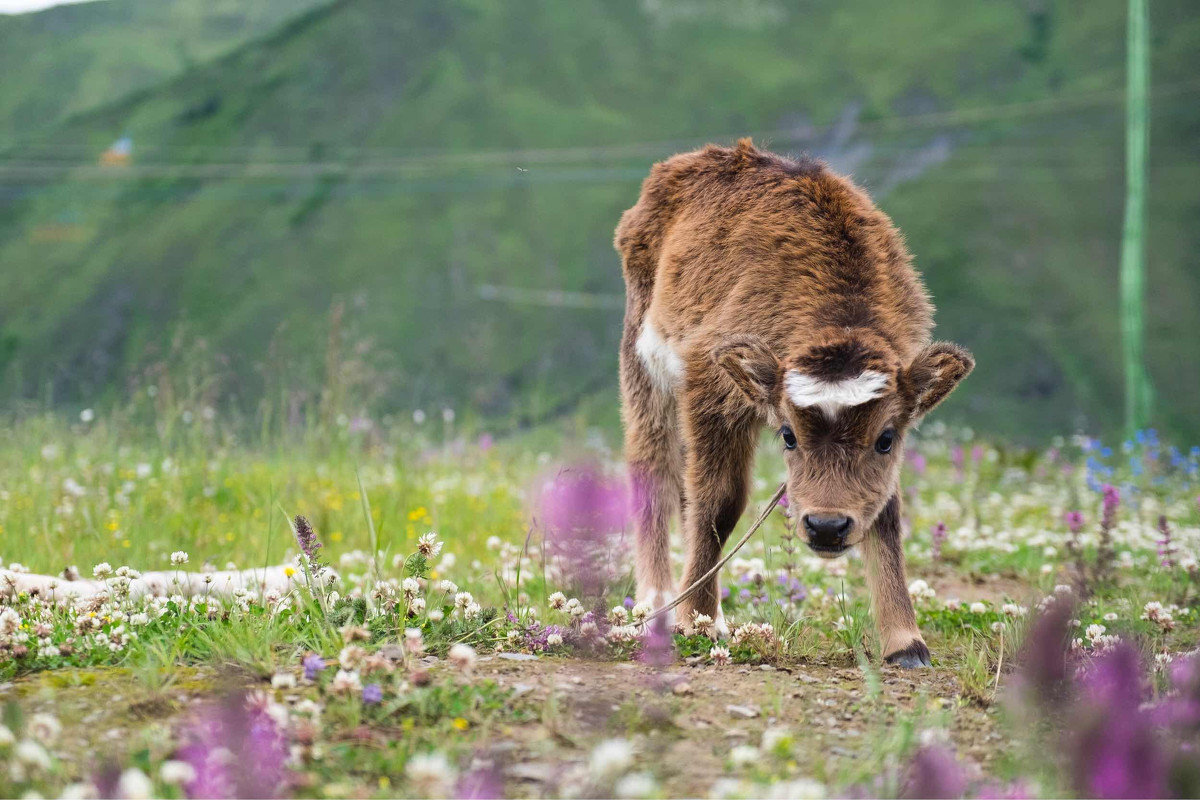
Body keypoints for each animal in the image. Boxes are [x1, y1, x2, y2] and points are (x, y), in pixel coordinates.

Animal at [614, 139, 969, 671]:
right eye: (788, 434)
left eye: (885, 439)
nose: (826, 526)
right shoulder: (709, 389)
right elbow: (719, 502)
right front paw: (700, 622)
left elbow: (886, 515)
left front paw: (906, 642)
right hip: (645, 368)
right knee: (653, 470)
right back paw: (658, 604)